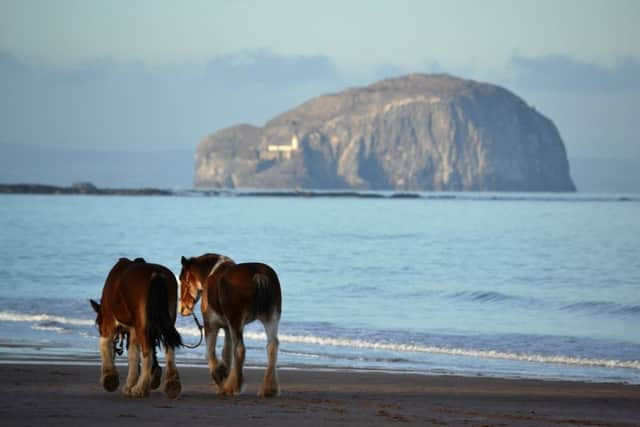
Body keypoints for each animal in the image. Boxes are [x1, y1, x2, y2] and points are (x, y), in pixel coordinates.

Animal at [89, 258, 182, 402]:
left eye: (98, 322)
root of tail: (156, 274)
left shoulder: (110, 323)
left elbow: (105, 345)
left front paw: (109, 377)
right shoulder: (133, 330)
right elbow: (133, 354)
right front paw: (129, 385)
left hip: (142, 327)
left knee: (147, 352)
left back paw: (141, 388)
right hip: (168, 321)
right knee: (169, 348)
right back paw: (172, 384)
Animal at [179, 254, 282, 398]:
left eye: (182, 279)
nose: (183, 309)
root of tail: (258, 275)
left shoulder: (211, 326)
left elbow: (210, 353)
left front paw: (219, 376)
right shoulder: (227, 328)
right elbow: (226, 352)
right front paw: (224, 373)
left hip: (236, 321)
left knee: (239, 349)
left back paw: (232, 387)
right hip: (270, 319)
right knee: (272, 346)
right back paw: (268, 389)